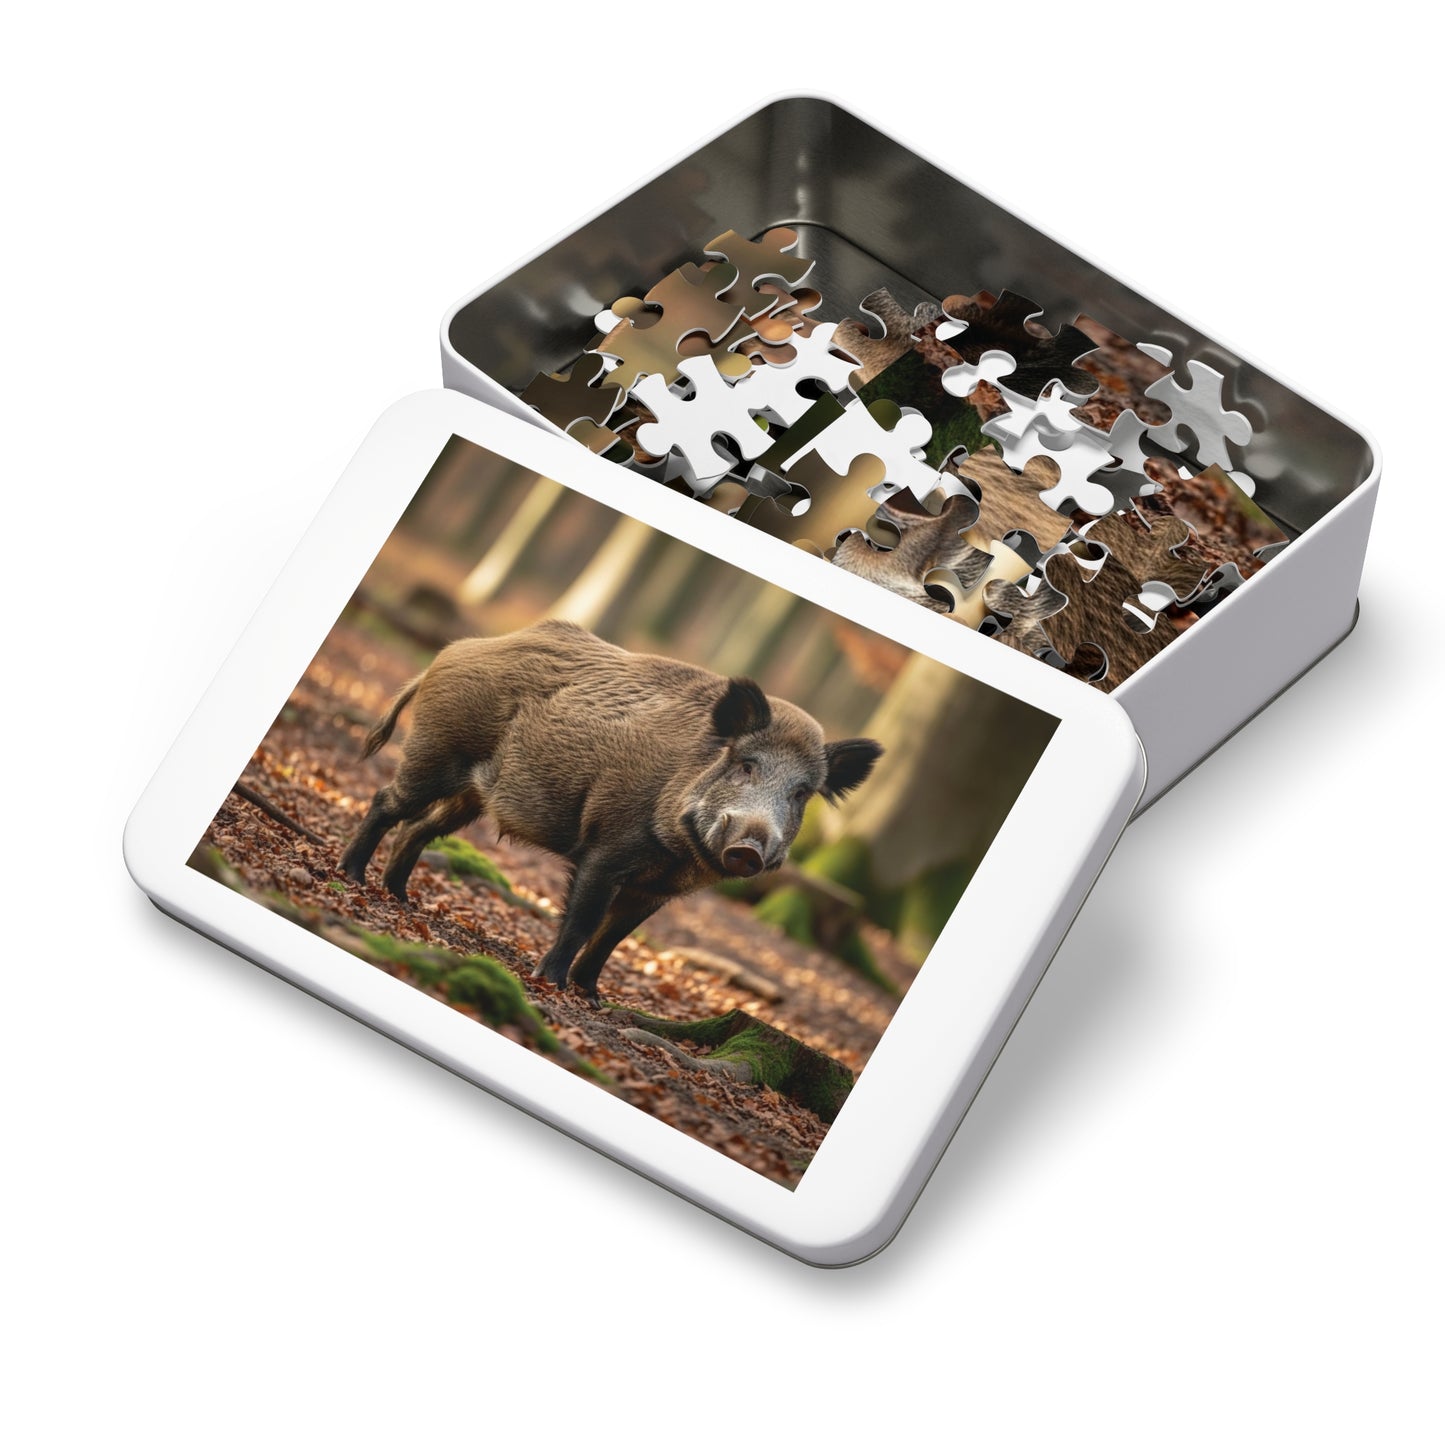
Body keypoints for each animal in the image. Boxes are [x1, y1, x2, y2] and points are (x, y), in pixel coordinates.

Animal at [339, 620, 882, 1000]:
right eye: (746, 764)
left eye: (801, 793)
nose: (748, 847)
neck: (677, 853)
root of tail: (452, 650)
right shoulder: (608, 846)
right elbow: (584, 920)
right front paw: (552, 986)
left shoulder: (658, 889)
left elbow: (613, 938)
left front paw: (593, 997)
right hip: (436, 749)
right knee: (388, 801)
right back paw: (351, 876)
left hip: (470, 793)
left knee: (420, 827)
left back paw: (401, 897)